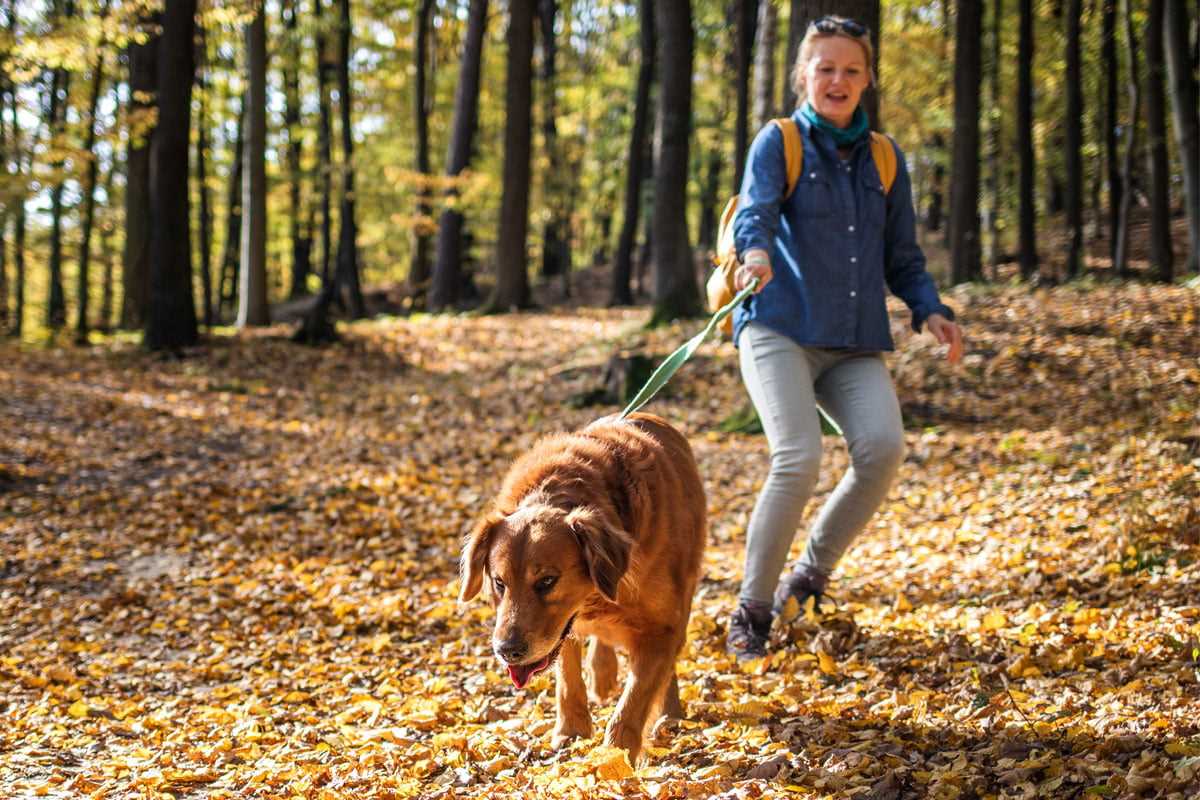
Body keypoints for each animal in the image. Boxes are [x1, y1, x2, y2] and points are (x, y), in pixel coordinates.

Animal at [456, 412, 700, 762]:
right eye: (499, 582)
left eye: (547, 581)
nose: (507, 651)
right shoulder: (562, 629)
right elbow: (568, 678)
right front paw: (571, 732)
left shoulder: (662, 626)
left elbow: (634, 700)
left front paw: (613, 757)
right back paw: (602, 673)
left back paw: (670, 713)